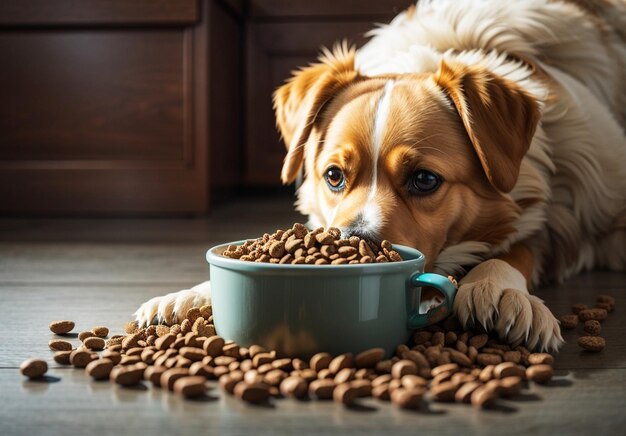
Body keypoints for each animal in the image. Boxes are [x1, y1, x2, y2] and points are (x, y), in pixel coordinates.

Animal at [135, 0, 624, 352]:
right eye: (333, 176)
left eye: (424, 180)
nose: (353, 244)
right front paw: (192, 294)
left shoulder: (561, 212)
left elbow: (518, 249)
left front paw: (498, 288)